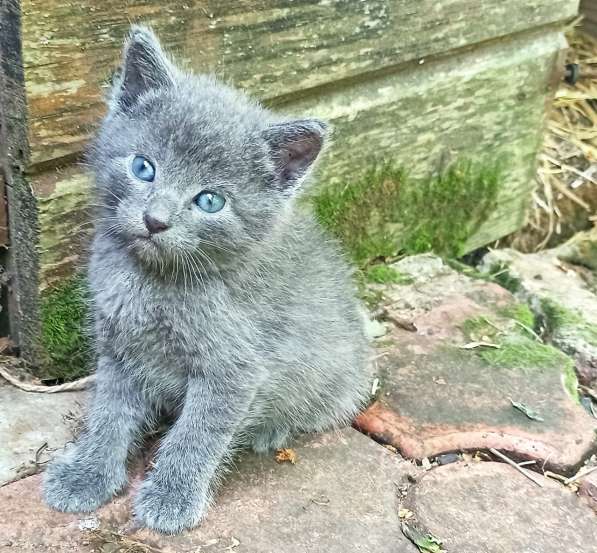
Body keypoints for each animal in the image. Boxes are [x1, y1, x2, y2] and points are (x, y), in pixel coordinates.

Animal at [43, 25, 368, 536]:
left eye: (210, 201)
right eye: (143, 167)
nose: (155, 220)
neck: (153, 282)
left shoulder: (235, 370)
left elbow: (197, 434)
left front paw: (172, 497)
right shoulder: (118, 350)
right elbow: (108, 415)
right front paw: (88, 474)